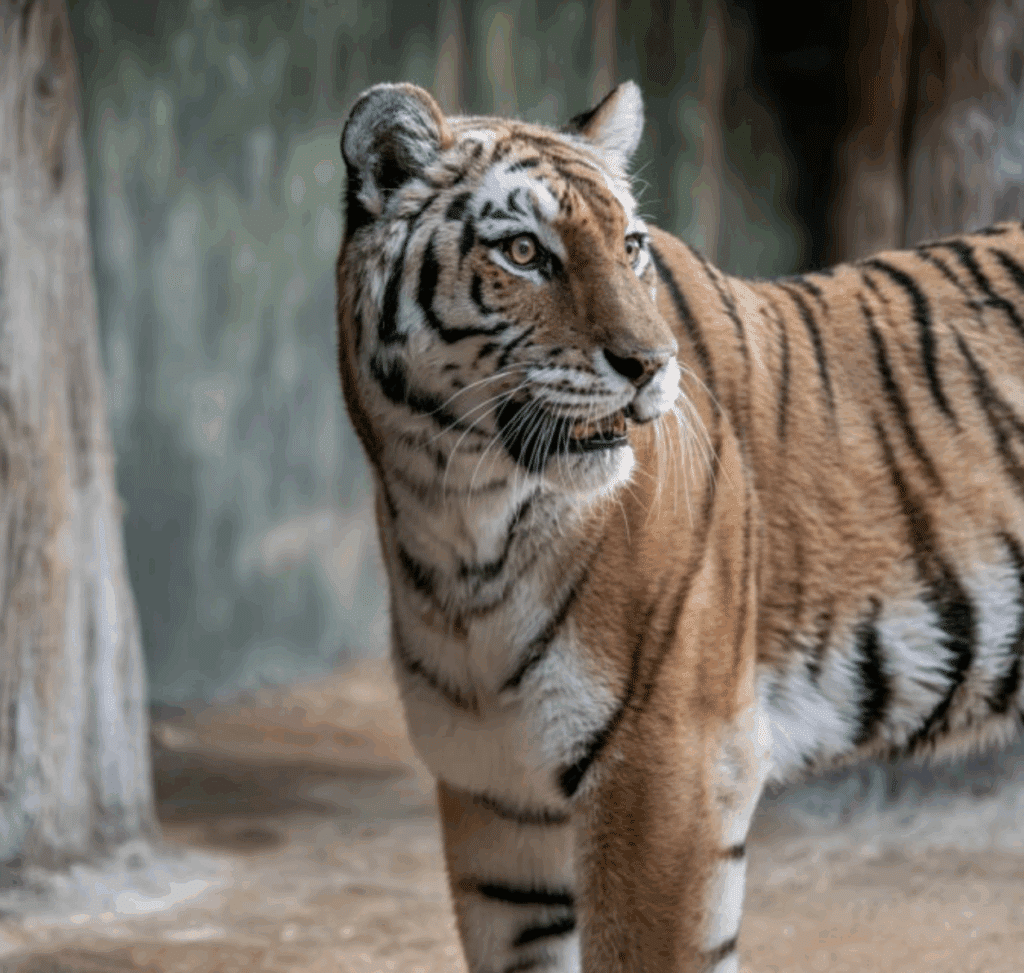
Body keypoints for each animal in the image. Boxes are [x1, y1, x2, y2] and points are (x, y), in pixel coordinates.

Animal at [335, 78, 1024, 973]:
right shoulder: (495, 788)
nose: (650, 364)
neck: (460, 517)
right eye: (522, 252)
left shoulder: (669, 769)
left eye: (630, 246)